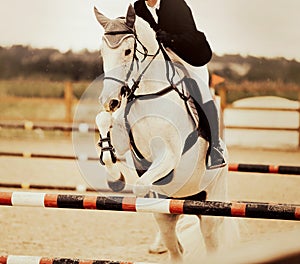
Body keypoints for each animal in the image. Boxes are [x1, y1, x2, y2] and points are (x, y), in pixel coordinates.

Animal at [94, 5, 239, 262]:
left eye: (127, 51)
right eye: (102, 53)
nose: (109, 101)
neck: (147, 94)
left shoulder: (169, 155)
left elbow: (141, 185)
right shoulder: (124, 139)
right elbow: (103, 124)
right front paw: (115, 174)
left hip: (210, 214)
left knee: (211, 241)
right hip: (167, 215)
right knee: (175, 248)